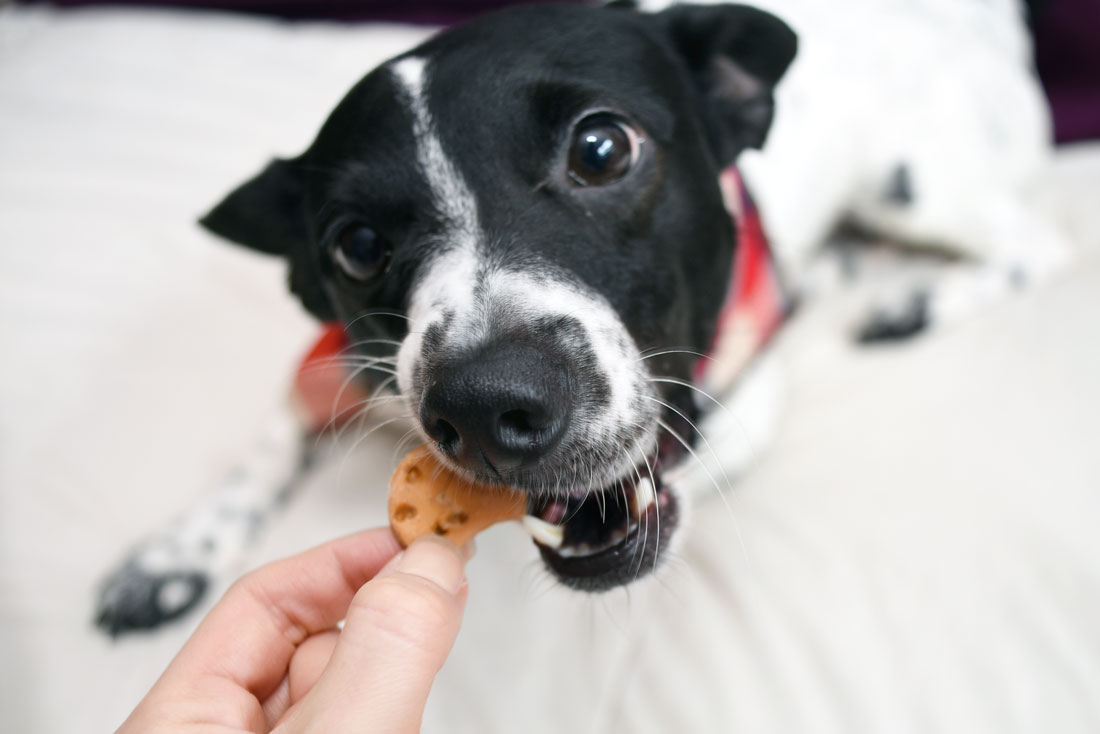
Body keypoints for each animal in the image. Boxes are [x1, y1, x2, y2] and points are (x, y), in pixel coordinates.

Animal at [94, 0, 1064, 633]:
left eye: (601, 149)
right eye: (357, 245)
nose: (488, 406)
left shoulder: (738, 396)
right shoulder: (336, 357)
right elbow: (269, 439)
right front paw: (175, 552)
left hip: (910, 183)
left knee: (1036, 243)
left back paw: (911, 301)